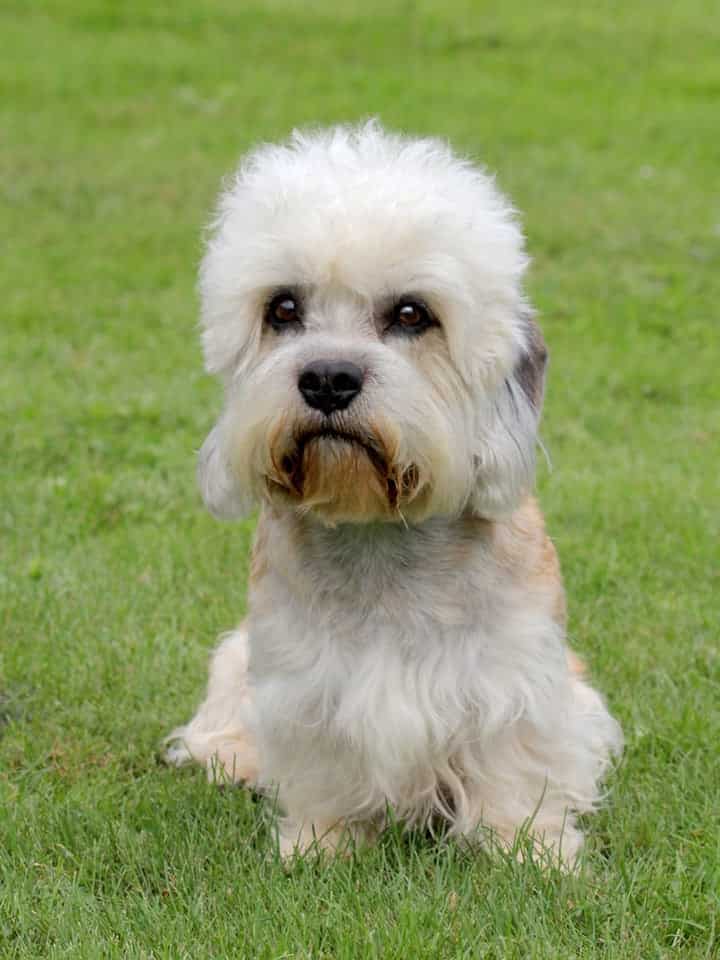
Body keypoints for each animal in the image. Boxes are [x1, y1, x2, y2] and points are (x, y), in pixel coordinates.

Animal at [166, 120, 620, 864]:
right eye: (282, 308)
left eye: (412, 314)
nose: (327, 378)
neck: (378, 531)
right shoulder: (301, 683)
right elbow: (323, 767)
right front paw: (320, 843)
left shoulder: (518, 679)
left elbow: (515, 768)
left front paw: (530, 850)